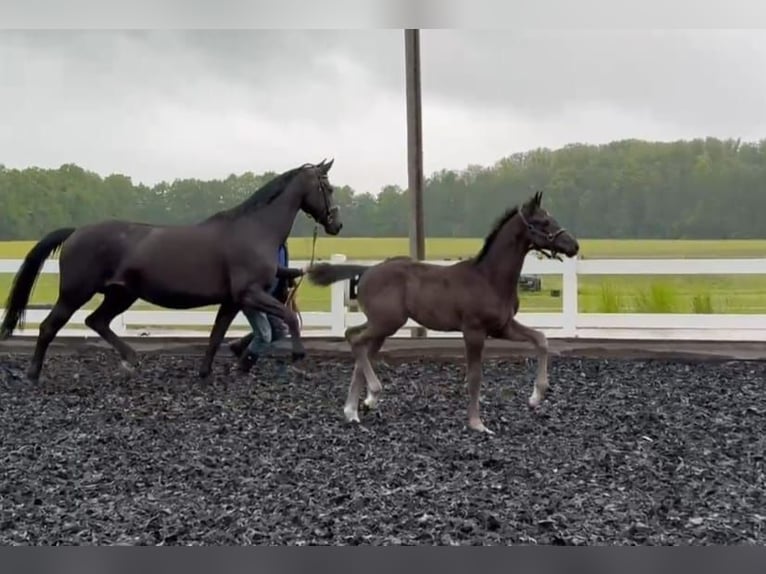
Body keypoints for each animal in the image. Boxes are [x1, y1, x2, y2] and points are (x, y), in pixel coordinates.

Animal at [1, 159, 343, 384]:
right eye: (327, 186)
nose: (336, 224)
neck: (254, 230)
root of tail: (76, 232)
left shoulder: (233, 301)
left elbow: (216, 335)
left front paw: (205, 373)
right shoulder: (250, 294)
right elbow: (287, 317)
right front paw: (298, 355)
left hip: (120, 294)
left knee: (96, 321)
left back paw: (131, 358)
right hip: (75, 293)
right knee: (49, 327)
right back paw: (33, 375)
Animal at [306, 191, 579, 434]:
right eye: (544, 222)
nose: (574, 246)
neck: (489, 278)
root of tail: (366, 271)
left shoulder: (503, 326)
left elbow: (541, 339)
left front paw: (535, 397)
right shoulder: (474, 331)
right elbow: (475, 377)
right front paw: (477, 424)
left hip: (382, 327)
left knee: (360, 348)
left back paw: (353, 410)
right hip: (387, 323)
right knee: (353, 338)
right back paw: (372, 392)